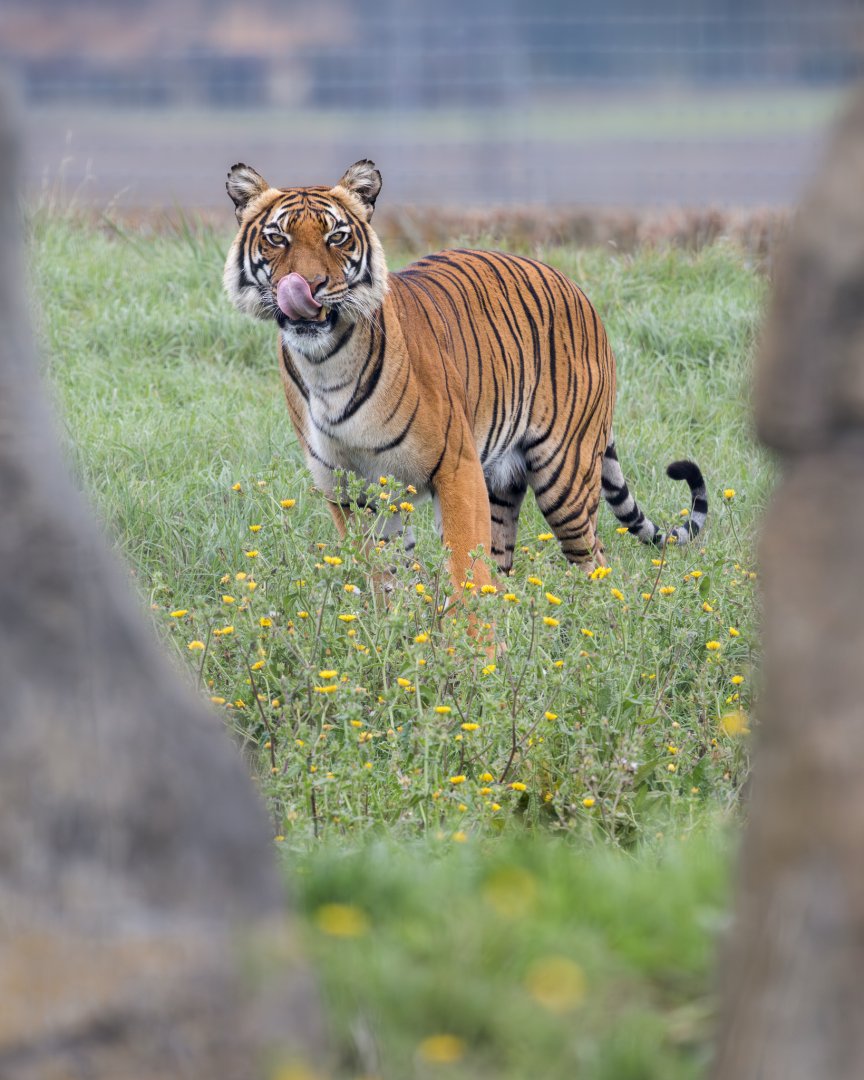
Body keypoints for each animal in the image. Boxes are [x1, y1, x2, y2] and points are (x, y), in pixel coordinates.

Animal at [223, 159, 707, 597]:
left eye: (336, 236)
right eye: (277, 238)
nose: (308, 285)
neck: (324, 362)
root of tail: (576, 288)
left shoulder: (455, 466)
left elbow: (463, 572)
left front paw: (467, 637)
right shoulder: (348, 489)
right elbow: (383, 575)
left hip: (564, 475)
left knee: (593, 559)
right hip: (502, 483)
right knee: (503, 569)